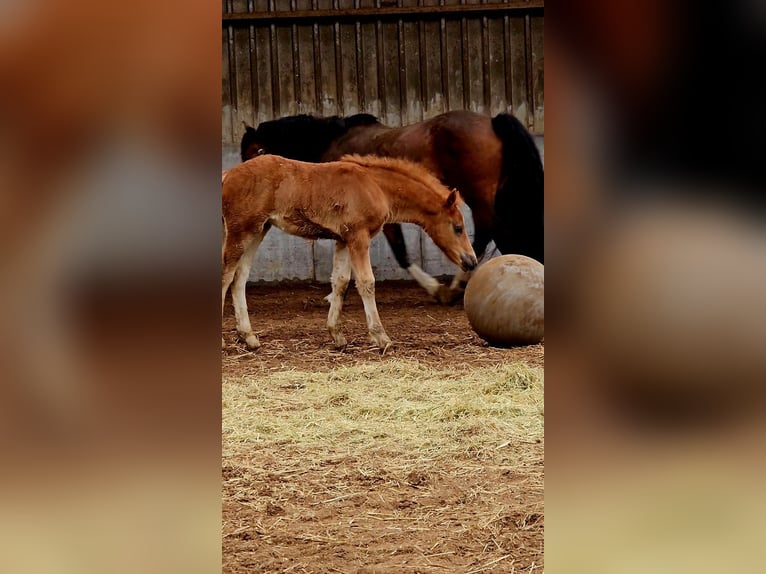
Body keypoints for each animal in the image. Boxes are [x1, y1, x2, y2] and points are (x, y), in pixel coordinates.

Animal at [219, 153, 476, 352]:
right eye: (458, 227)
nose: (471, 261)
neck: (376, 186)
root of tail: (227, 174)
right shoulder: (358, 237)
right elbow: (366, 282)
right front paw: (381, 337)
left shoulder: (343, 240)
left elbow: (340, 282)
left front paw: (337, 336)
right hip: (240, 230)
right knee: (226, 275)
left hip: (259, 229)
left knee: (239, 278)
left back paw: (249, 337)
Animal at [240, 109, 544, 304]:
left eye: (255, 151)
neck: (333, 142)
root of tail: (491, 121)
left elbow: (400, 252)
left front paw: (435, 289)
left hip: (478, 195)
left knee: (485, 233)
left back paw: (457, 285)